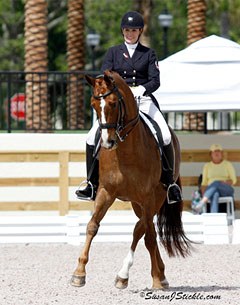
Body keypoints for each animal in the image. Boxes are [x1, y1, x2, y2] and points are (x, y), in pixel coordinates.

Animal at [71, 70, 191, 288]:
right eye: (93, 104)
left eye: (113, 103)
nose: (107, 142)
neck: (125, 152)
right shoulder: (106, 192)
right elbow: (92, 226)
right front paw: (79, 273)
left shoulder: (147, 196)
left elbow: (143, 234)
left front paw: (129, 276)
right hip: (137, 203)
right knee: (147, 228)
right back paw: (159, 274)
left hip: (156, 198)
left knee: (144, 230)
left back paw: (151, 277)